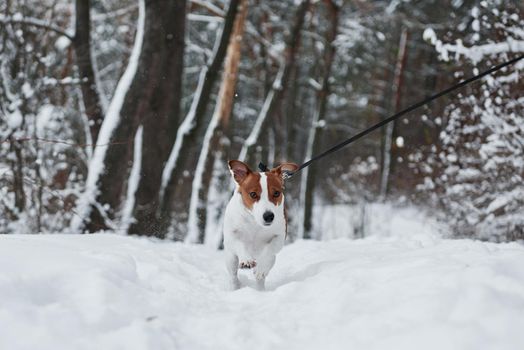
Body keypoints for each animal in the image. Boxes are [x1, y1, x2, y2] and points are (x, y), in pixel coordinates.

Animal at [224, 159, 298, 290]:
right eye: (253, 194)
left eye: (276, 193)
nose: (269, 216)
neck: (255, 222)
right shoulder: (232, 235)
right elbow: (239, 243)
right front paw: (247, 260)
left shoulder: (279, 237)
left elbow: (269, 250)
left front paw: (261, 268)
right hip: (230, 258)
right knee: (233, 275)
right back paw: (236, 287)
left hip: (272, 260)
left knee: (264, 272)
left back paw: (260, 289)